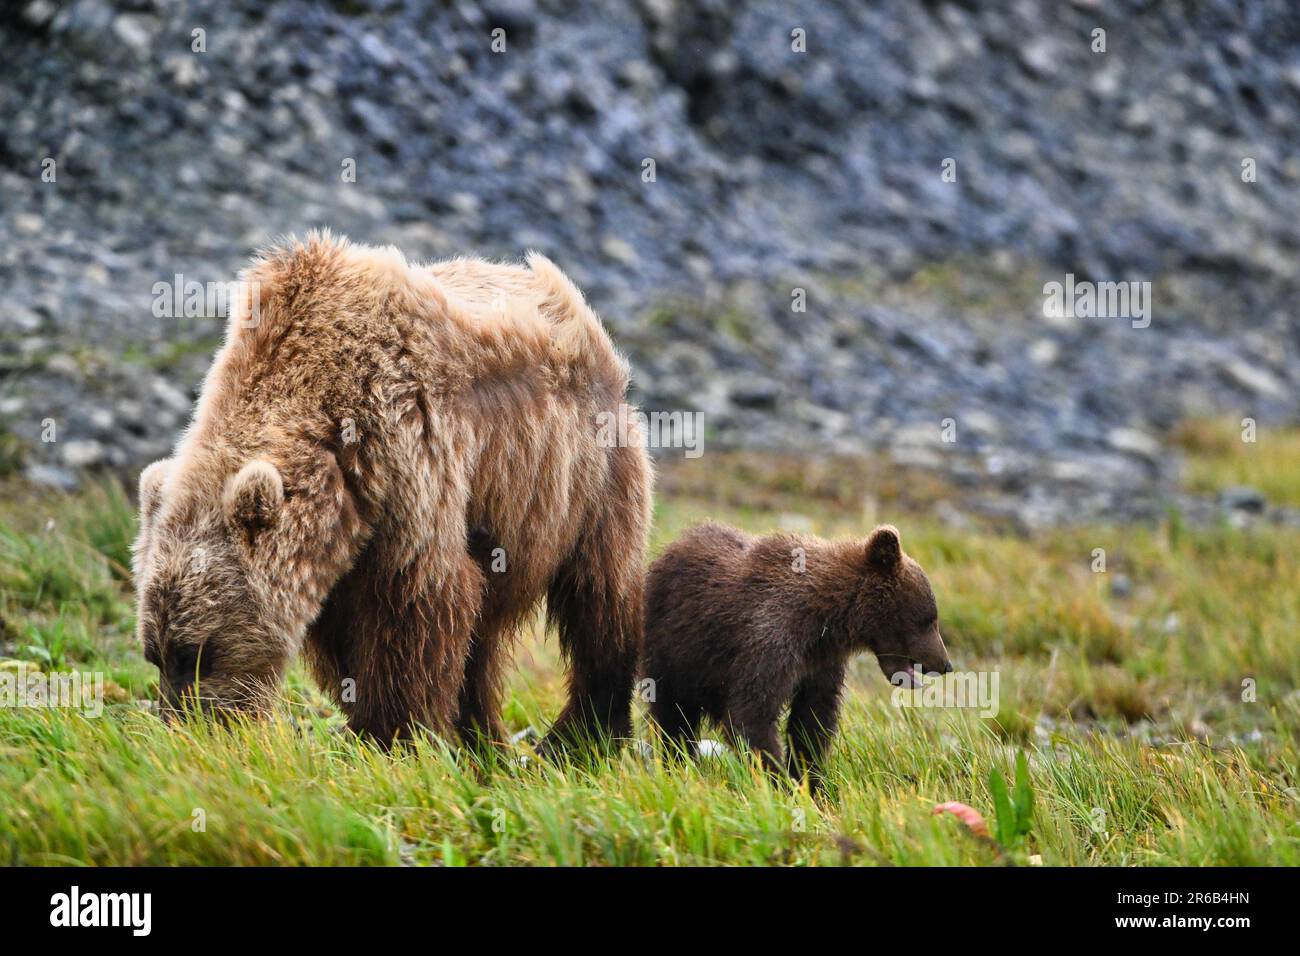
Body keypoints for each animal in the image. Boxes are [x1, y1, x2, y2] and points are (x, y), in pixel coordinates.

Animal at [132, 231, 653, 752]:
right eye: (155, 654)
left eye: (197, 653)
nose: (185, 728)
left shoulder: (407, 448)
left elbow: (415, 603)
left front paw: (388, 734)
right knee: (484, 635)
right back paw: (483, 738)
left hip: (587, 472)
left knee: (599, 593)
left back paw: (581, 734)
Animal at [642, 521, 951, 783]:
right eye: (929, 619)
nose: (945, 664)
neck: (825, 621)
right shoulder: (770, 637)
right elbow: (752, 713)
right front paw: (779, 781)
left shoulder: (821, 663)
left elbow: (812, 718)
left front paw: (810, 780)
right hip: (673, 650)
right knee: (673, 716)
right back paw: (674, 763)